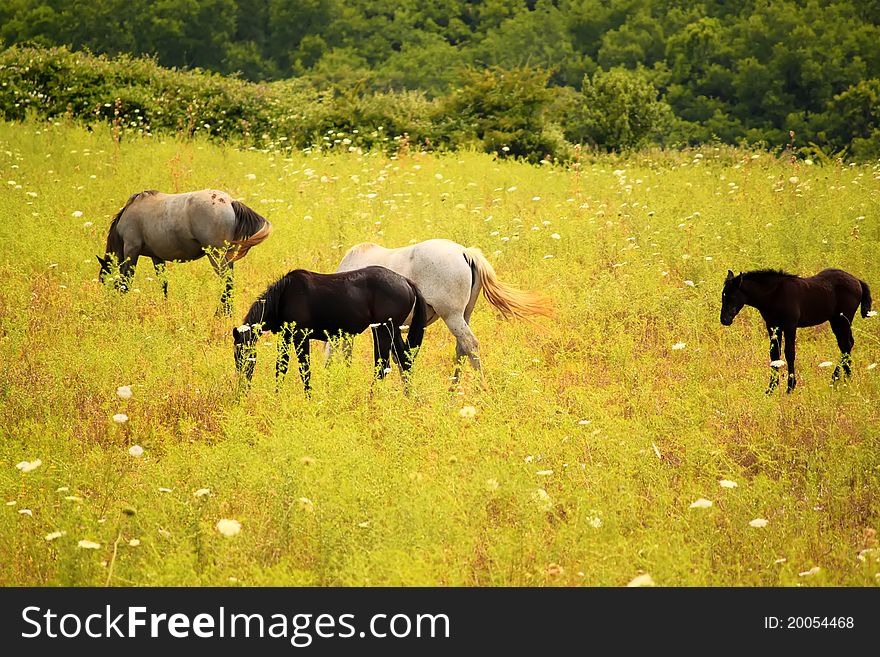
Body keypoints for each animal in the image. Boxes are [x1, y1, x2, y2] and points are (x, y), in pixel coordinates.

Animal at [97, 190, 272, 312]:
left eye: (104, 281)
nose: (108, 303)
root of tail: (230, 202)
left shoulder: (131, 250)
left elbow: (126, 281)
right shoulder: (156, 257)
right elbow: (164, 283)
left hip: (216, 257)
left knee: (227, 284)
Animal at [234, 264, 426, 392]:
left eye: (243, 354)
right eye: (236, 354)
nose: (242, 387)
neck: (283, 296)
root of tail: (407, 282)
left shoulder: (301, 337)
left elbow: (305, 370)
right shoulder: (285, 338)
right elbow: (281, 368)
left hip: (383, 331)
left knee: (382, 367)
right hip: (394, 331)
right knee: (405, 362)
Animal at [326, 238, 552, 382]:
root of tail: (464, 252)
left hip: (452, 316)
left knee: (470, 345)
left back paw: (481, 390)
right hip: (464, 315)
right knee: (462, 348)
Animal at [720, 266, 872, 390]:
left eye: (732, 296)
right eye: (723, 295)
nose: (724, 320)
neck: (775, 294)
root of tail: (857, 281)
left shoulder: (790, 325)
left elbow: (789, 353)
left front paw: (790, 386)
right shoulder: (772, 326)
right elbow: (774, 354)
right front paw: (771, 388)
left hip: (843, 320)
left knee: (846, 345)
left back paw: (841, 379)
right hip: (836, 321)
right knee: (846, 345)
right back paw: (842, 379)